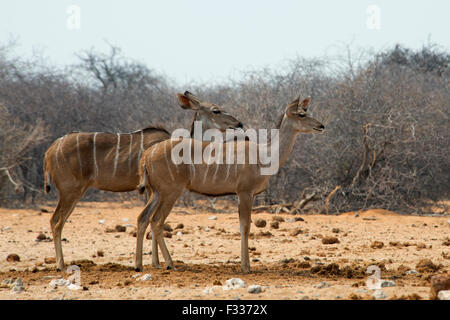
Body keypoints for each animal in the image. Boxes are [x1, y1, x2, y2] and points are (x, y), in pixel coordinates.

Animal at [44, 91, 244, 272]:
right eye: (216, 110)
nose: (238, 123)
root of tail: (50, 150)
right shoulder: (153, 189)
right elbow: (151, 220)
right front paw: (157, 263)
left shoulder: (152, 190)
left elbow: (147, 220)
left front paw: (154, 263)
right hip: (71, 191)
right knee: (56, 221)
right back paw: (61, 265)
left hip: (74, 193)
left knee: (58, 220)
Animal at [135, 94, 326, 272]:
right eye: (301, 114)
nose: (321, 126)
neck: (264, 154)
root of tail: (147, 155)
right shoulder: (245, 193)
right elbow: (245, 226)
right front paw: (246, 267)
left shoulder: (248, 195)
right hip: (171, 192)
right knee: (157, 221)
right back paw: (170, 264)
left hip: (156, 193)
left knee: (144, 218)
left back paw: (141, 265)